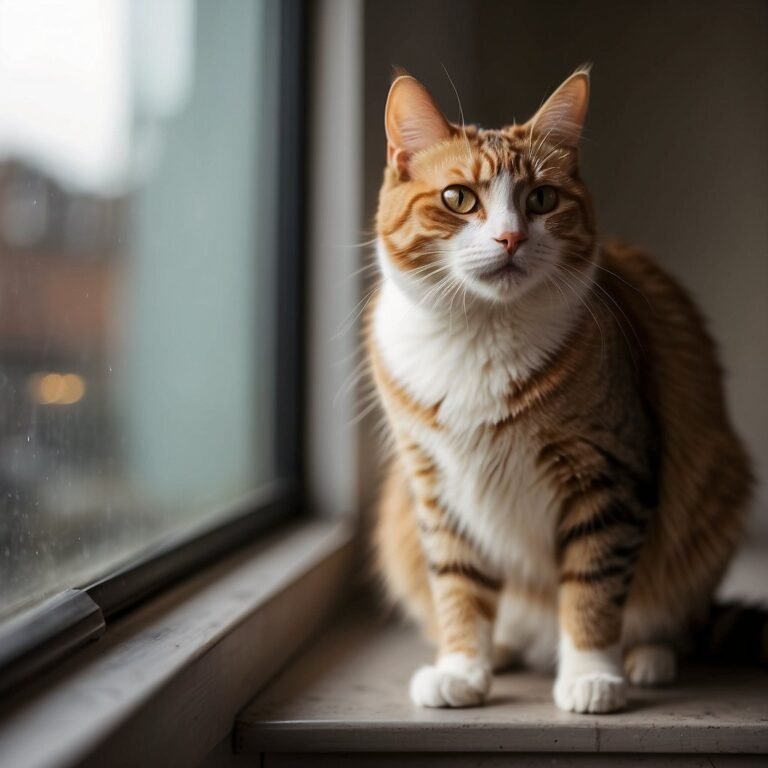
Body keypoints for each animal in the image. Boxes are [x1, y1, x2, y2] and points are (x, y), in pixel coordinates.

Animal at [368, 67, 752, 712]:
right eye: (458, 198)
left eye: (541, 199)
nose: (509, 239)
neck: (480, 332)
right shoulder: (435, 487)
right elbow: (458, 587)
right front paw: (462, 667)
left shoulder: (608, 475)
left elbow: (592, 586)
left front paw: (591, 675)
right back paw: (500, 649)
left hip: (715, 493)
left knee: (672, 615)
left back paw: (646, 658)